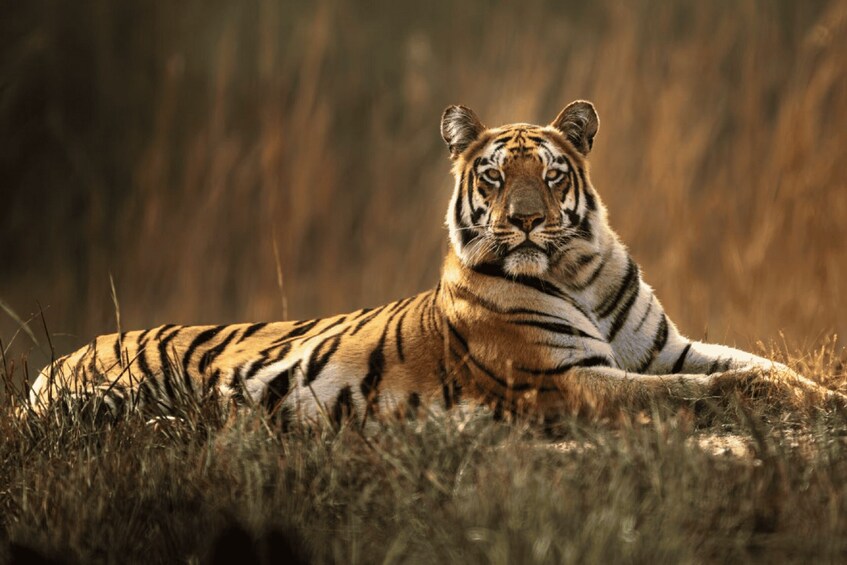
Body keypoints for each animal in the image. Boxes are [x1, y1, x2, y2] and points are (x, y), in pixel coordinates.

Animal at [28, 100, 845, 424]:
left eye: (550, 174)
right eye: (493, 176)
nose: (524, 220)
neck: (575, 270)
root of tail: (55, 360)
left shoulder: (666, 349)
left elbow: (764, 366)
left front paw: (826, 397)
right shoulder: (568, 380)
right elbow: (715, 389)